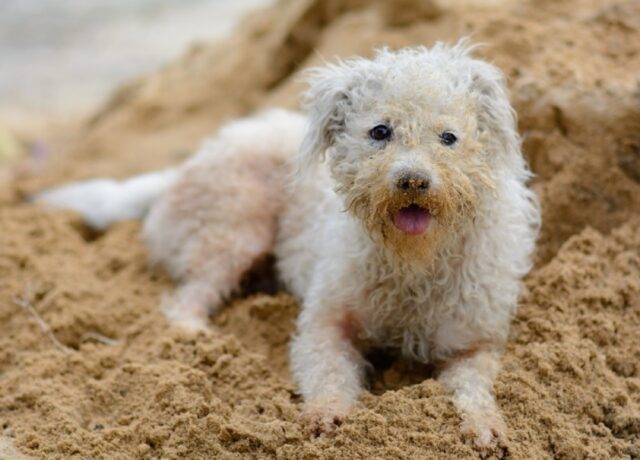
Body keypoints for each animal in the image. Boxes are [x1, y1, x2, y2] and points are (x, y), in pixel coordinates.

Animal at [37, 42, 540, 446]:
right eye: (380, 131)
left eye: (449, 137)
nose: (413, 180)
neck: (413, 261)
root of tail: (179, 173)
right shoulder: (324, 325)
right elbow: (328, 375)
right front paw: (325, 415)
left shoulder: (475, 345)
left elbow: (475, 389)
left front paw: (486, 428)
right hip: (235, 230)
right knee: (185, 299)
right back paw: (200, 340)